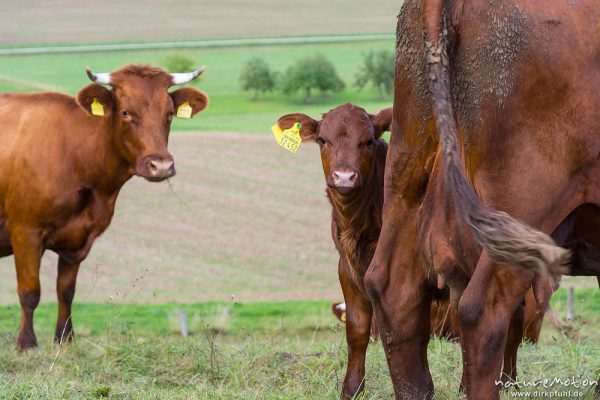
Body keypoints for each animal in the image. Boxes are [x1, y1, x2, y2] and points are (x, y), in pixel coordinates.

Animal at [0, 63, 209, 350]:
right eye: (125, 112)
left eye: (169, 113)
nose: (161, 165)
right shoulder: (26, 231)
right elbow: (30, 292)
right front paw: (26, 343)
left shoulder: (77, 238)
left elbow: (66, 290)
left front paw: (65, 338)